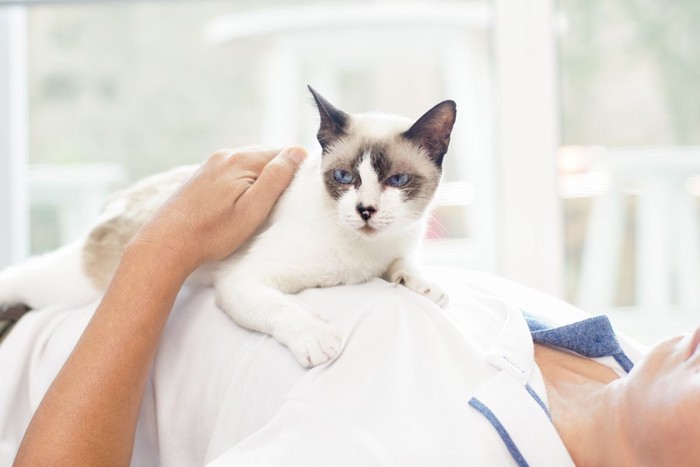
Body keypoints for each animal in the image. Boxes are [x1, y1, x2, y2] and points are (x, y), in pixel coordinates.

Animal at [0, 86, 460, 368]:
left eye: (397, 181)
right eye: (345, 178)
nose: (365, 210)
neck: (363, 253)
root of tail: (128, 193)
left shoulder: (398, 246)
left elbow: (404, 264)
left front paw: (424, 285)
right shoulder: (243, 282)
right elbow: (283, 310)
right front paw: (318, 341)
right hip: (74, 284)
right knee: (22, 274)